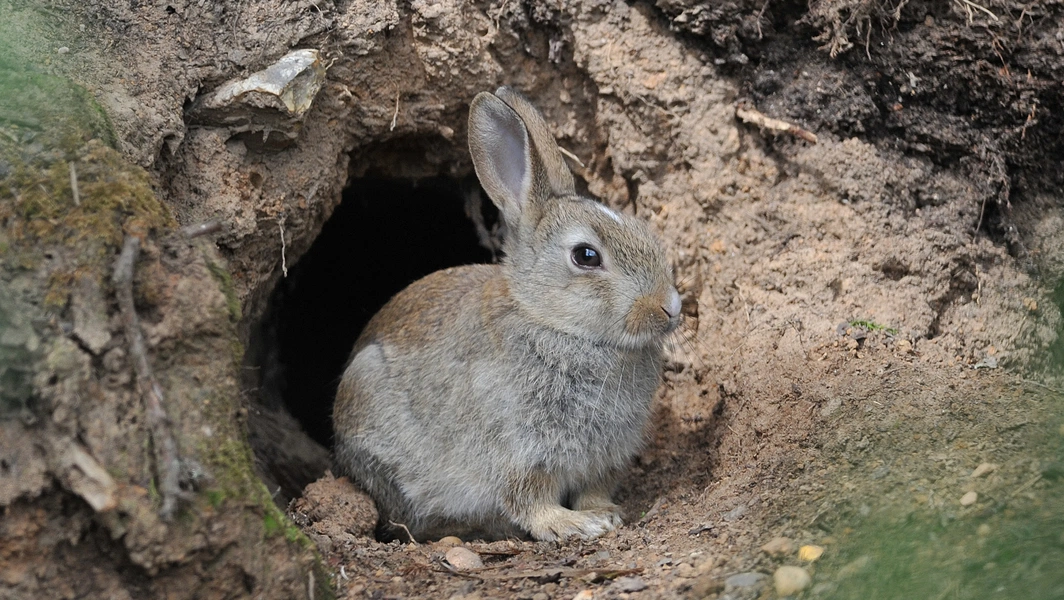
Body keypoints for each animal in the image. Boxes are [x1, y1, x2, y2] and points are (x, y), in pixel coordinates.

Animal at [332, 86, 682, 542]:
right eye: (586, 256)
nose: (671, 306)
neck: (550, 322)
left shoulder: (604, 458)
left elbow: (594, 488)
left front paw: (603, 513)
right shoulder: (520, 450)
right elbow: (530, 499)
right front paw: (573, 524)